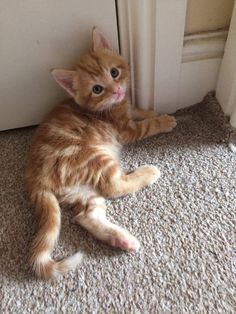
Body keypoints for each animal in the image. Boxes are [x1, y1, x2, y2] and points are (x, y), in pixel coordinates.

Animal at [25, 28, 176, 280]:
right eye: (97, 89)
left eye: (114, 72)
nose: (116, 90)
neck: (109, 107)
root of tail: (35, 177)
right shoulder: (126, 130)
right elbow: (146, 126)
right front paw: (162, 121)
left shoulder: (126, 108)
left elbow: (137, 110)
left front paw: (151, 111)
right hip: (93, 158)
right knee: (115, 186)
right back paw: (148, 173)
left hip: (80, 190)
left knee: (87, 216)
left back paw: (122, 240)